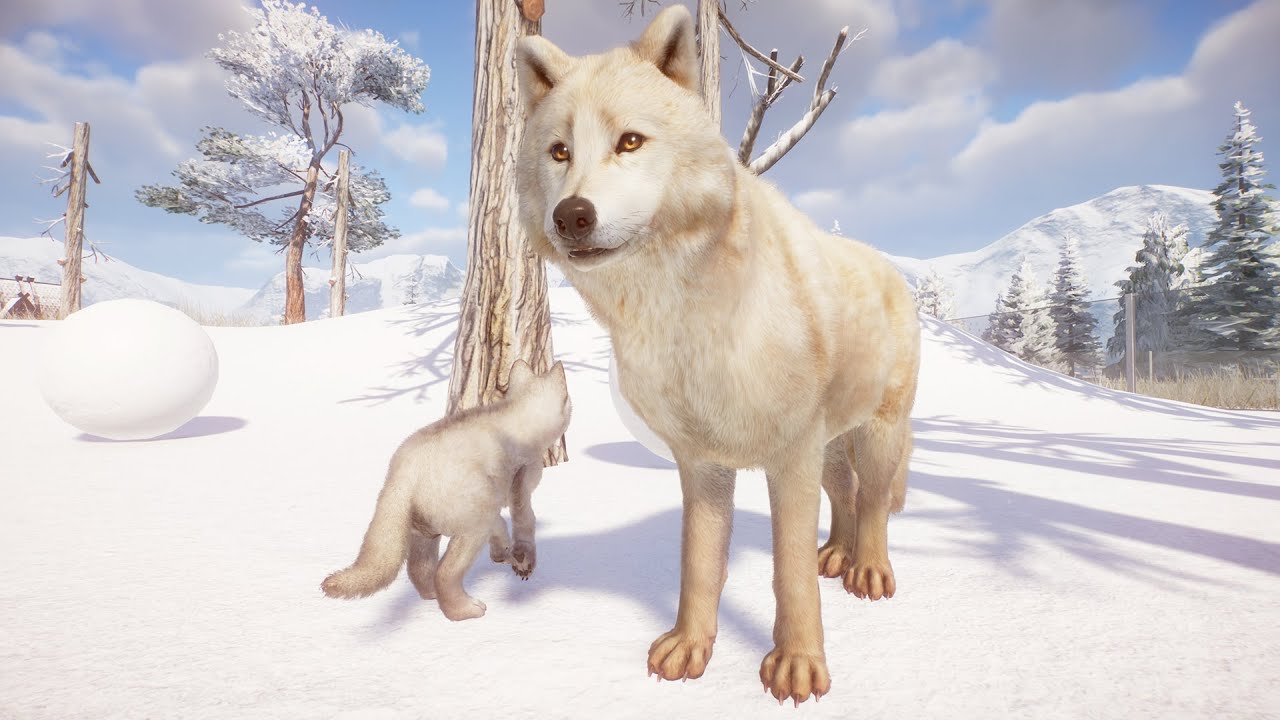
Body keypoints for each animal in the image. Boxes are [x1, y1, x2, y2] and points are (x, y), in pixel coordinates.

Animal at [321, 360, 571, 621]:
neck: (518, 412)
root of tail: (402, 475)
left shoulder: (491, 496)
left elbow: (501, 526)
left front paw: (503, 553)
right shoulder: (518, 483)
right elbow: (524, 521)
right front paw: (522, 560)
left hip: (428, 530)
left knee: (418, 568)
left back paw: (431, 594)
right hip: (471, 526)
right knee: (444, 572)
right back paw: (466, 610)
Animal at [514, 5, 921, 704]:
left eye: (629, 142)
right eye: (559, 152)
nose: (572, 216)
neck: (686, 323)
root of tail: (892, 268)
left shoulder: (789, 457)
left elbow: (788, 571)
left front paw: (798, 666)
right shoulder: (702, 465)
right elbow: (699, 564)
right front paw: (690, 649)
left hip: (875, 434)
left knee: (872, 503)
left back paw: (866, 569)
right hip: (830, 446)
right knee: (844, 495)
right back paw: (837, 556)